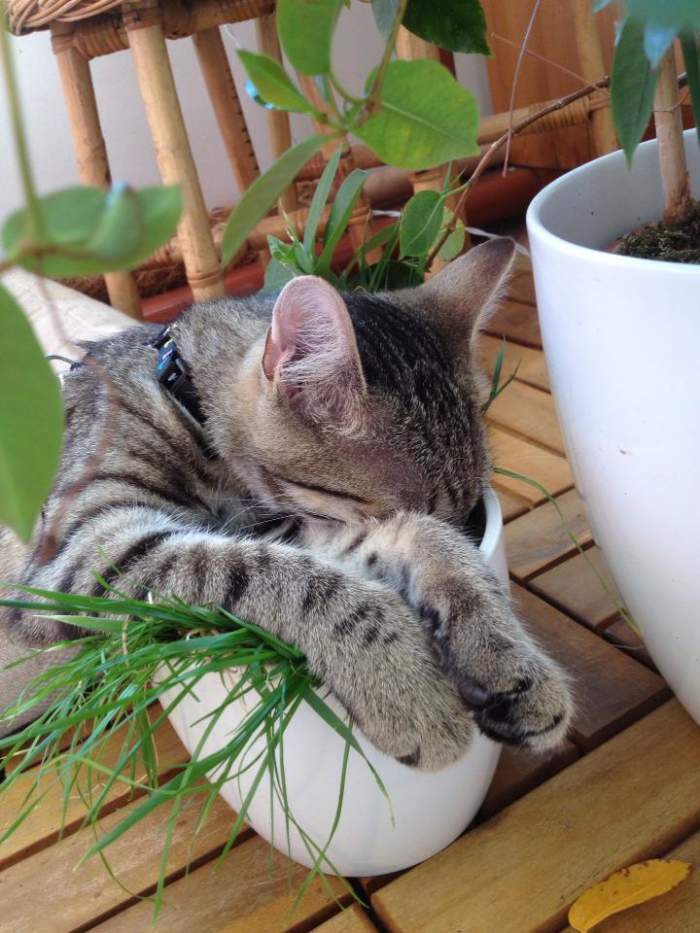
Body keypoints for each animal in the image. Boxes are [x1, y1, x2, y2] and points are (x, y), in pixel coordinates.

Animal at [0, 235, 572, 764]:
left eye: (470, 518)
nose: (473, 530)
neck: (182, 398)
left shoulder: (291, 525)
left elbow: (416, 540)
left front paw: (503, 655)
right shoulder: (82, 548)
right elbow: (275, 576)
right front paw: (405, 688)